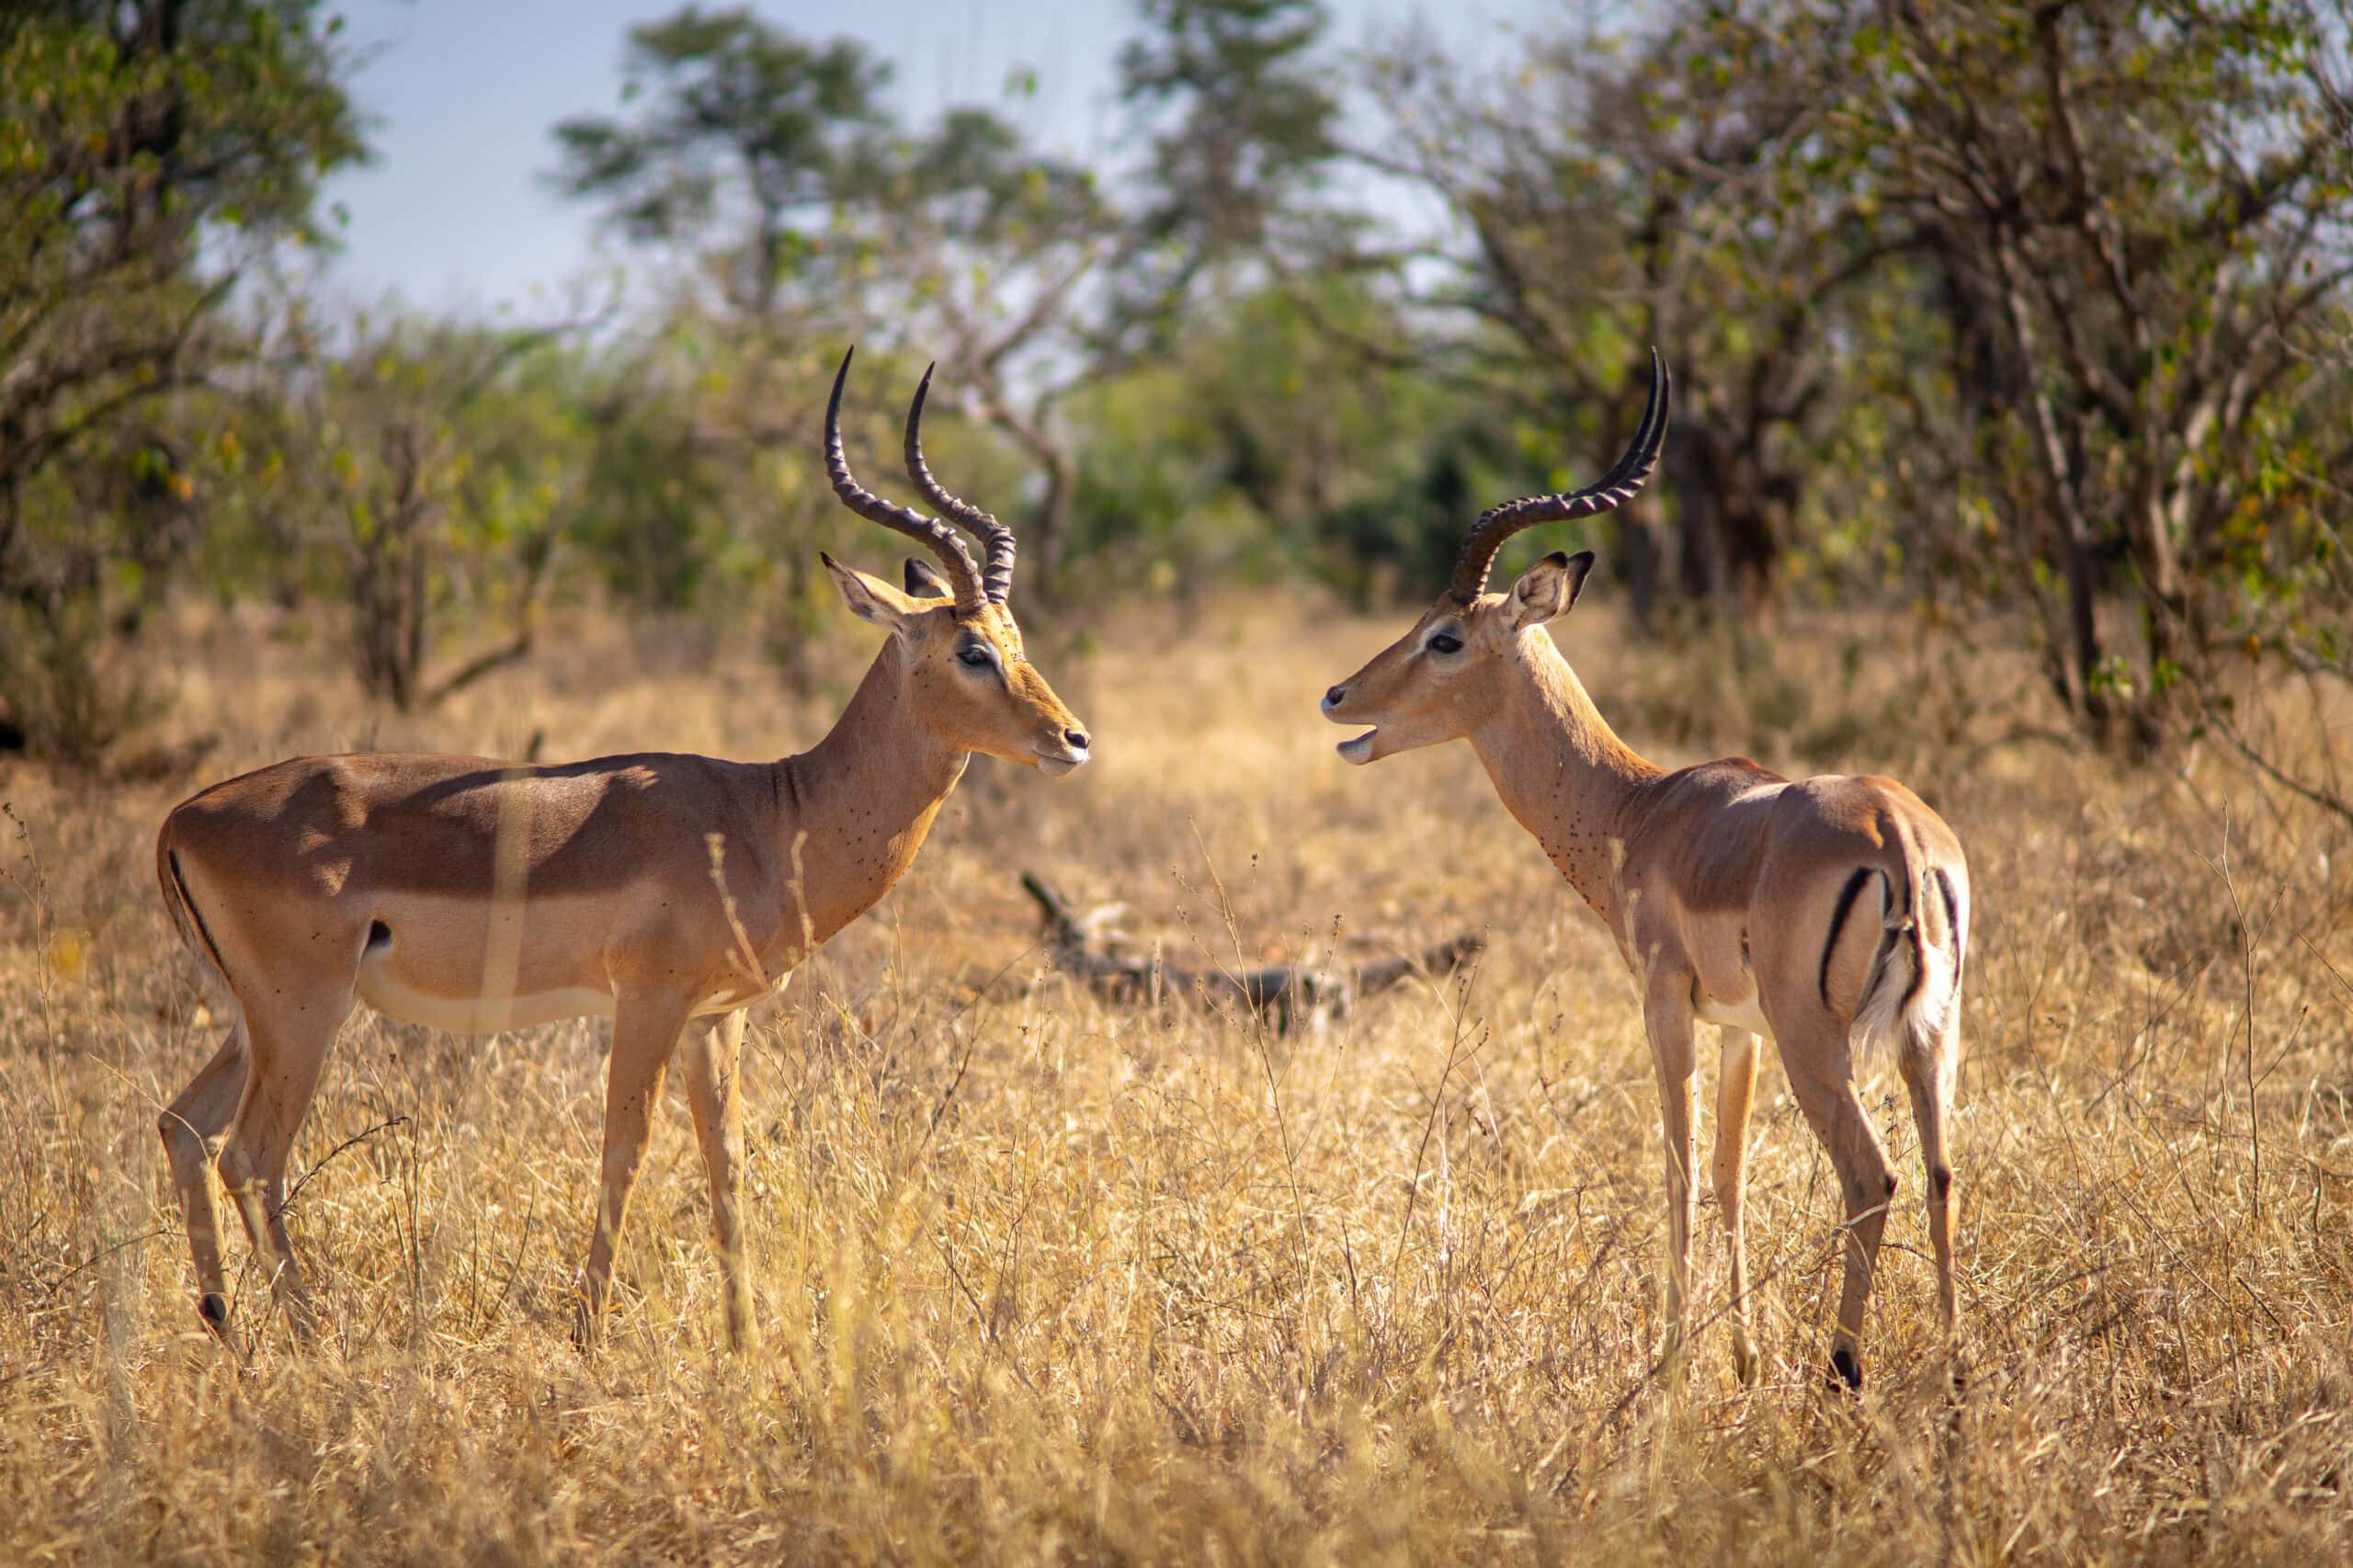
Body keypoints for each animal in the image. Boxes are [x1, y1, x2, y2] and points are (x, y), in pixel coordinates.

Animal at [153, 349, 1090, 1352]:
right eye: (970, 650)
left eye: (1017, 640)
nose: (1072, 739)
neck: (766, 815)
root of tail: (183, 817)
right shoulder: (647, 1003)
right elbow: (626, 1150)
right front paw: (587, 1334)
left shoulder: (718, 1018)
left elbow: (728, 1163)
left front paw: (744, 1341)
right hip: (305, 1014)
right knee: (250, 1154)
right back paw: (311, 1339)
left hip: (251, 1017)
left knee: (183, 1127)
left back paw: (227, 1325)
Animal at [1319, 354, 1968, 1390]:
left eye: (1444, 637)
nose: (1338, 695)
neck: (1643, 809)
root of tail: (1893, 831)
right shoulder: (1738, 1026)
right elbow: (1731, 1172)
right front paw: (1741, 1357)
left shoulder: (1666, 1000)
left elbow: (1677, 1164)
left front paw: (1669, 1364)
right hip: (1927, 1034)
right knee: (1943, 1170)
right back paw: (1951, 1367)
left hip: (1819, 1041)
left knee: (1873, 1174)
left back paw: (1843, 1366)